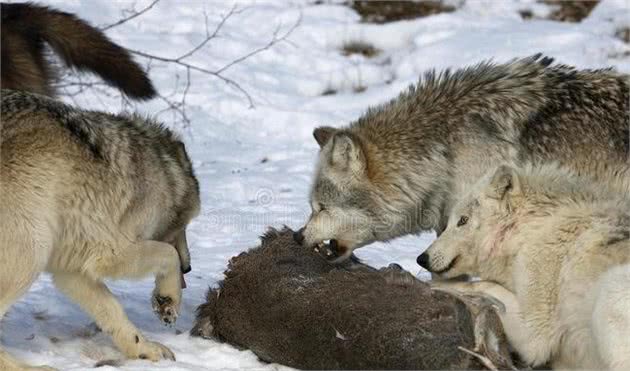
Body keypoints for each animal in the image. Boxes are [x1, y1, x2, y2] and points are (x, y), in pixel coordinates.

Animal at [0, 88, 200, 370]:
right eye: (185, 226)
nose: (189, 268)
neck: (162, 173)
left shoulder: (73, 270)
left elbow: (113, 311)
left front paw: (144, 349)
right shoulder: (111, 253)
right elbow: (167, 254)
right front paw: (167, 300)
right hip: (30, 253)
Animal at [420, 165, 630, 370]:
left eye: (462, 220)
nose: (421, 259)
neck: (528, 230)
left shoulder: (535, 332)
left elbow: (481, 285)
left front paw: (437, 287)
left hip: (611, 290)